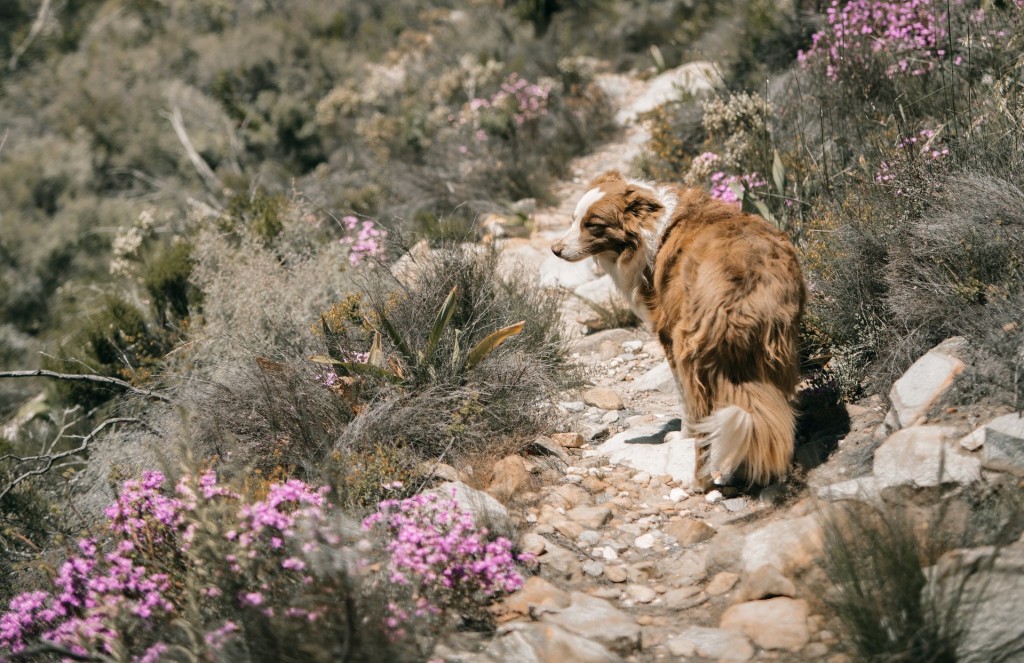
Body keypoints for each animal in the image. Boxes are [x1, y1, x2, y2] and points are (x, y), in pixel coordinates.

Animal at [552, 171, 806, 487]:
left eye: (593, 225)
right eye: (574, 219)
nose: (555, 250)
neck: (652, 229)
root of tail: (742, 291)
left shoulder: (667, 334)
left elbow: (683, 402)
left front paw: (680, 435)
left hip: (692, 349)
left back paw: (701, 481)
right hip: (778, 348)